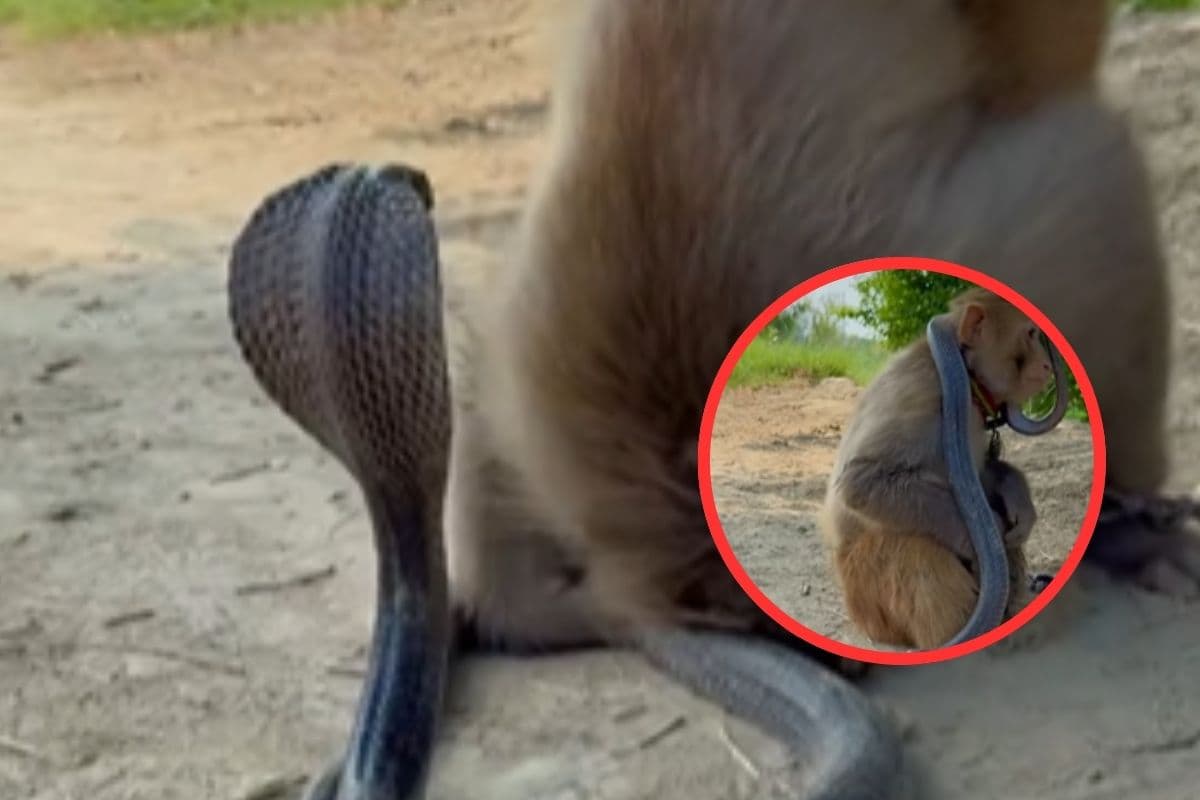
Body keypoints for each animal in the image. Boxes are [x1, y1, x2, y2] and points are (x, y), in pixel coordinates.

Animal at [819, 288, 1054, 650]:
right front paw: (989, 535)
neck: (968, 380)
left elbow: (984, 475)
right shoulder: (921, 393)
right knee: (917, 551)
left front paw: (1017, 495)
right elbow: (860, 481)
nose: (1047, 364)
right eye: (1030, 333)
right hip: (868, 598)